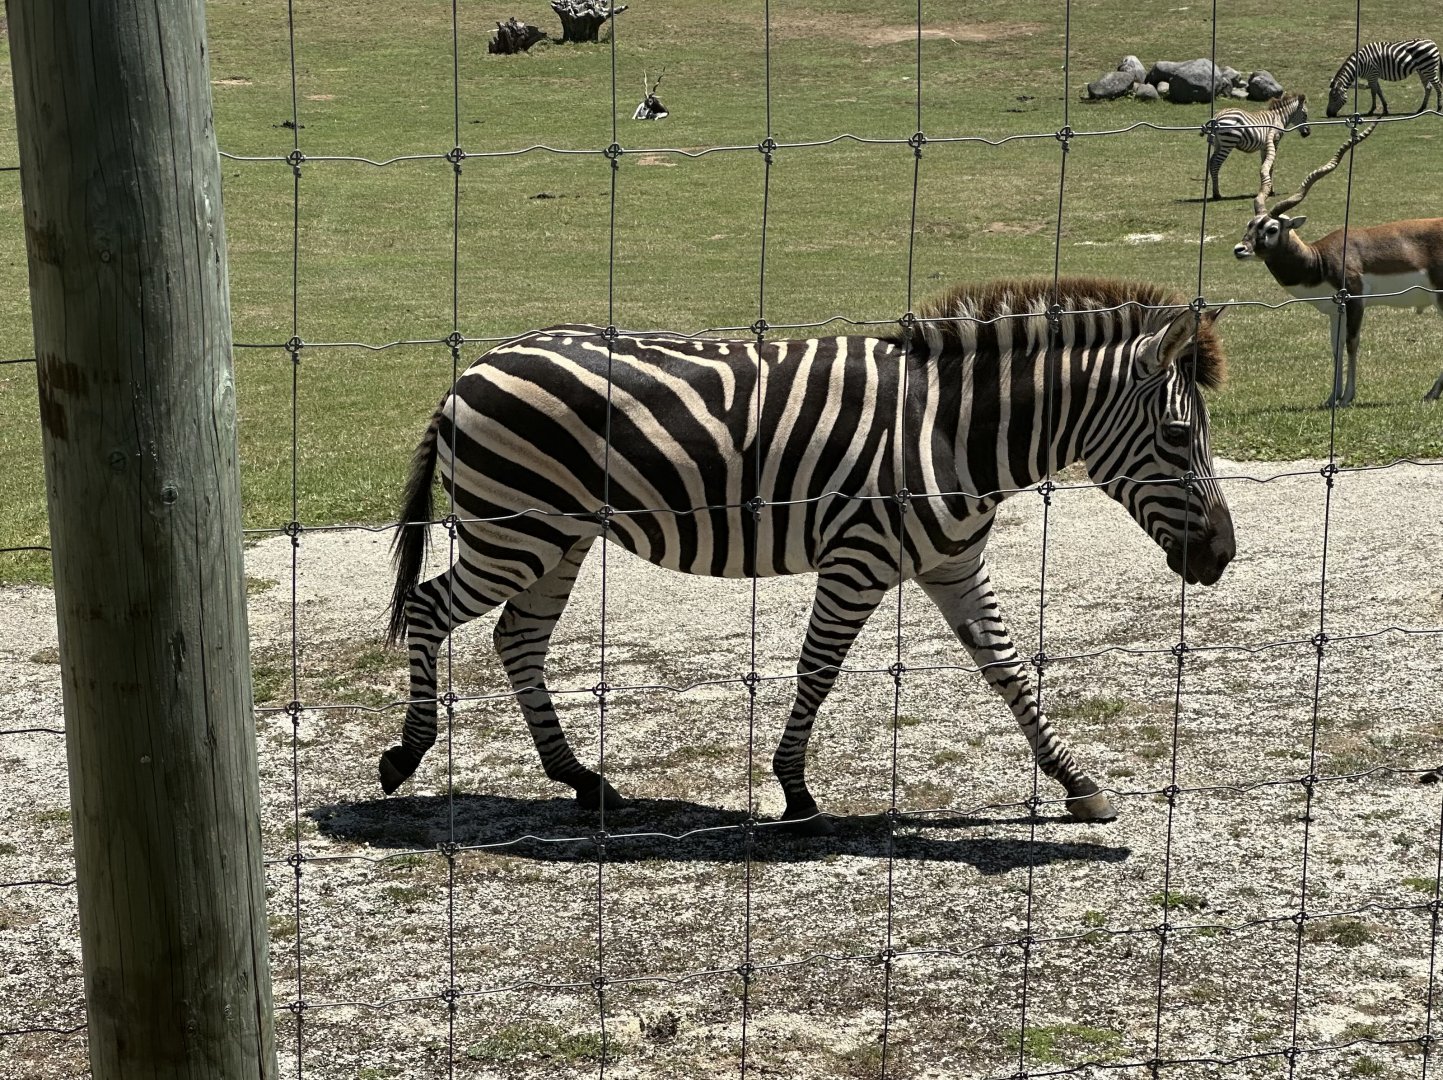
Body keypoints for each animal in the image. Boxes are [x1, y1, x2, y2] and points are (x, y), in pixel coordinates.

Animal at [379, 277, 1236, 832]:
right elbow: (816, 671)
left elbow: (1008, 668)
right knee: (428, 606)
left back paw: (581, 781)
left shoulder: (951, 564)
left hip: (558, 538)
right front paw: (793, 790)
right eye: (1177, 436)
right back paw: (407, 755)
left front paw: (1076, 781)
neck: (953, 433)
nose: (1223, 556)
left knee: (516, 639)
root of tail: (470, 370)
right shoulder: (858, 559)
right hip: (515, 531)